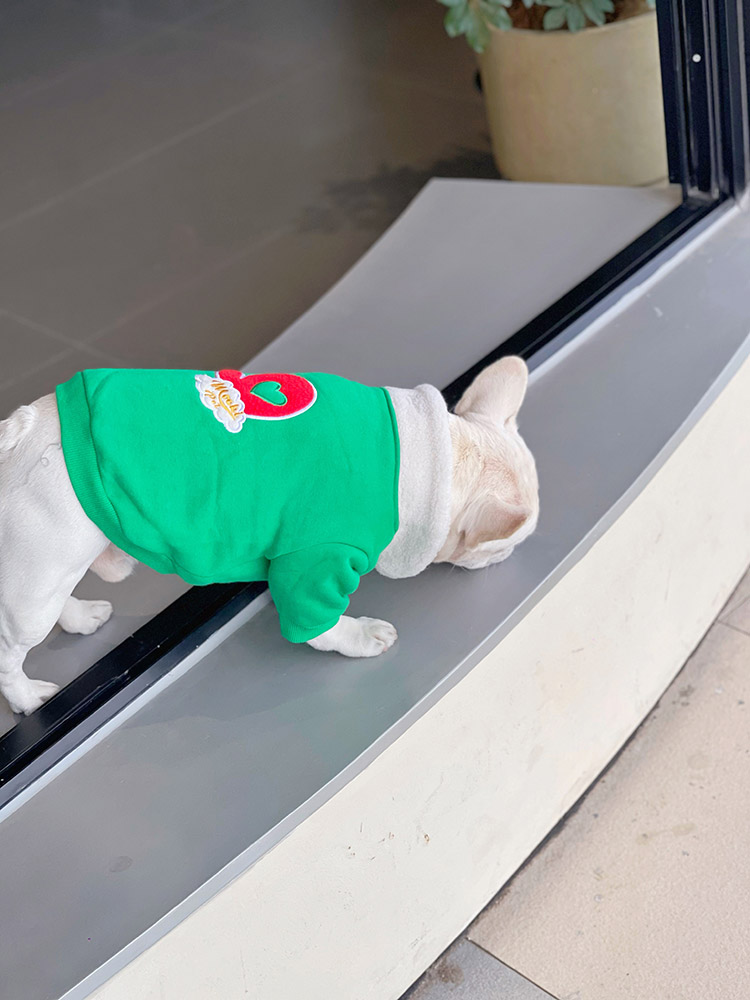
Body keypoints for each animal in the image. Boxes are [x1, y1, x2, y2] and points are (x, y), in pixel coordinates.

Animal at [0, 357, 538, 716]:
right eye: (506, 544)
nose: (510, 556)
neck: (440, 460)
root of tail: (17, 434)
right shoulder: (317, 562)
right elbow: (320, 625)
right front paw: (360, 638)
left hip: (46, 569)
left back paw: (80, 617)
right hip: (39, 577)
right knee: (9, 652)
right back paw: (27, 697)